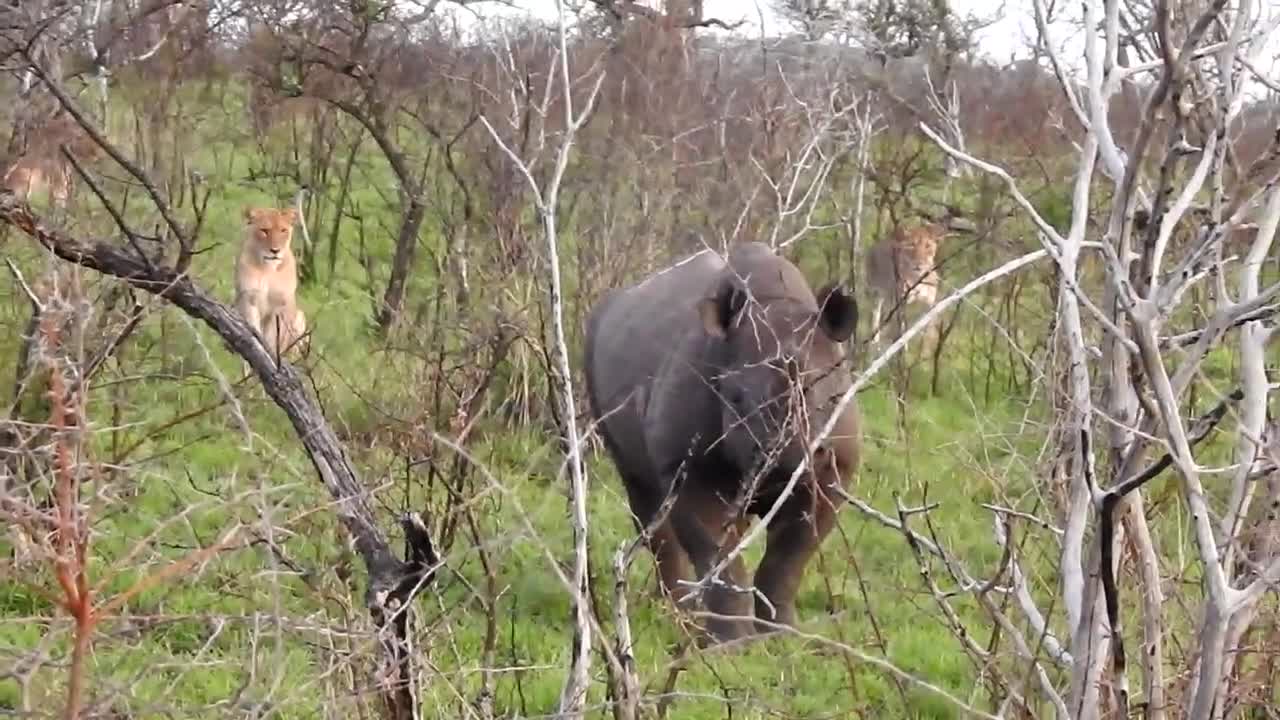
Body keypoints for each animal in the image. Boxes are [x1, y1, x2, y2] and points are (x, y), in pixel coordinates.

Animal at [235, 206, 307, 356]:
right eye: (264, 231)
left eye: (283, 230)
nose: (275, 251)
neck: (268, 269)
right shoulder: (249, 299)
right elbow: (254, 332)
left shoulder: (280, 307)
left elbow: (272, 339)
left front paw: (271, 356)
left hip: (300, 316)